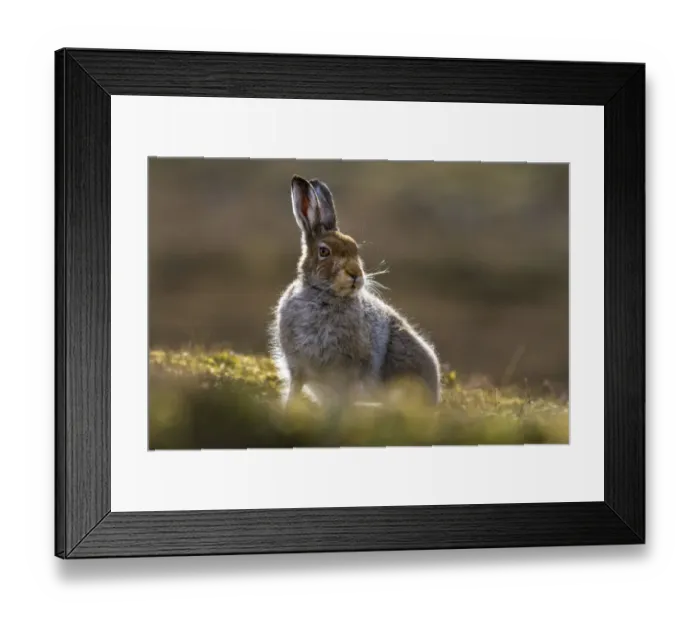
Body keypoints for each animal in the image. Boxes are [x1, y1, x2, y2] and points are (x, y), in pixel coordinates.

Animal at [270, 175, 441, 410]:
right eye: (324, 251)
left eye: (355, 250)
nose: (356, 274)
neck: (324, 296)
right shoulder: (298, 370)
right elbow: (293, 394)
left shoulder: (348, 375)